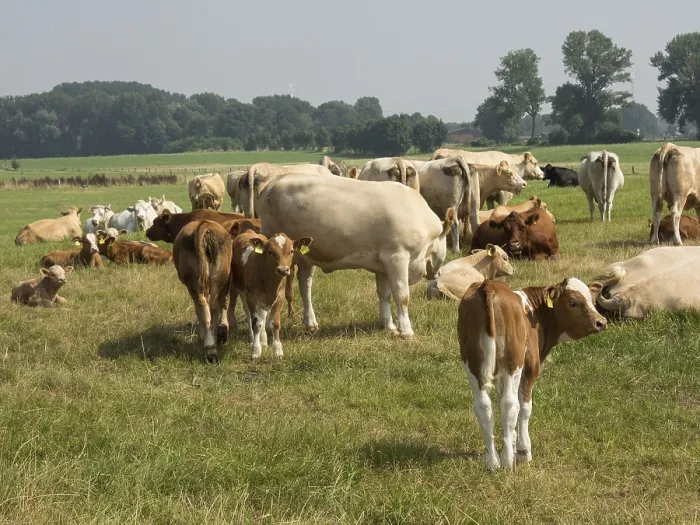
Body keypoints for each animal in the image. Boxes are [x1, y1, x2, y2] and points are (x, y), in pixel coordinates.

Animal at [173, 220, 233, 363]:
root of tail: (204, 224)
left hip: (197, 281)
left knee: (206, 308)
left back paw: (209, 346)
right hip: (217, 279)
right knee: (211, 308)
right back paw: (211, 346)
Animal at [257, 174, 455, 338]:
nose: (437, 273)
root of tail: (275, 181)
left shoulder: (383, 264)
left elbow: (384, 294)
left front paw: (388, 325)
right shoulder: (396, 257)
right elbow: (401, 295)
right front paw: (406, 331)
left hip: (307, 255)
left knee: (305, 283)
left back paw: (310, 323)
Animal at [458, 278, 606, 470]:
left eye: (591, 300)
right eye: (572, 302)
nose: (601, 322)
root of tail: (488, 284)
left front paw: (512, 443)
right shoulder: (531, 366)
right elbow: (525, 407)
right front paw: (522, 451)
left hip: (473, 363)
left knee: (483, 406)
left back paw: (492, 461)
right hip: (514, 362)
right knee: (510, 404)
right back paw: (507, 462)